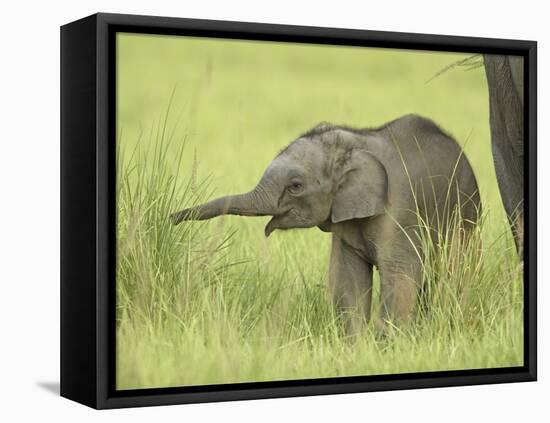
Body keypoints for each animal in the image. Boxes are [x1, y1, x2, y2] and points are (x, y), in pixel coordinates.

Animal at [172, 114, 484, 332]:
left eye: (295, 186)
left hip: (467, 215)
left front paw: (388, 347)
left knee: (457, 272)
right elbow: (347, 279)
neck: (356, 142)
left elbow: (400, 276)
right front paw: (356, 349)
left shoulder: (400, 211)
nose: (171, 218)